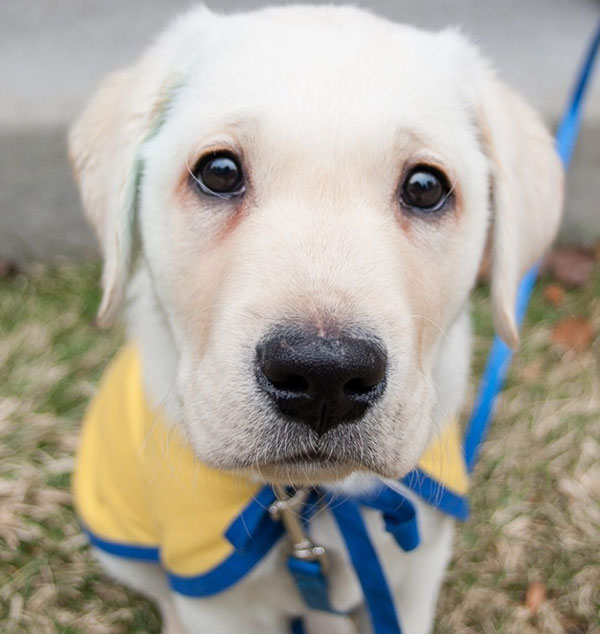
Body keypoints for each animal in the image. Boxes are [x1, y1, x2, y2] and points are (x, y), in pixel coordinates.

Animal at [68, 4, 563, 633]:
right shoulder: (214, 599)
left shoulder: (419, 569)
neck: (311, 502)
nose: (324, 377)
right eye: (220, 172)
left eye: (426, 187)